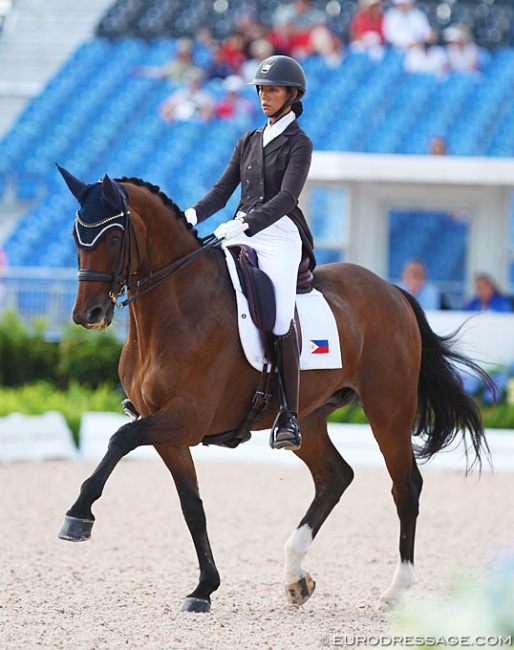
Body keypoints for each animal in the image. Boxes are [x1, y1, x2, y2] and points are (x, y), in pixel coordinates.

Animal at [55, 167, 488, 612]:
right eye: (75, 235)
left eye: (113, 237)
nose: (87, 314)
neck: (173, 308)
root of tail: (392, 290)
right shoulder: (167, 430)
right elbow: (192, 506)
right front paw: (204, 588)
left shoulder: (186, 419)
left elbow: (120, 439)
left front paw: (78, 516)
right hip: (308, 418)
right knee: (334, 476)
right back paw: (296, 576)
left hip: (389, 409)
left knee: (405, 486)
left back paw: (395, 591)